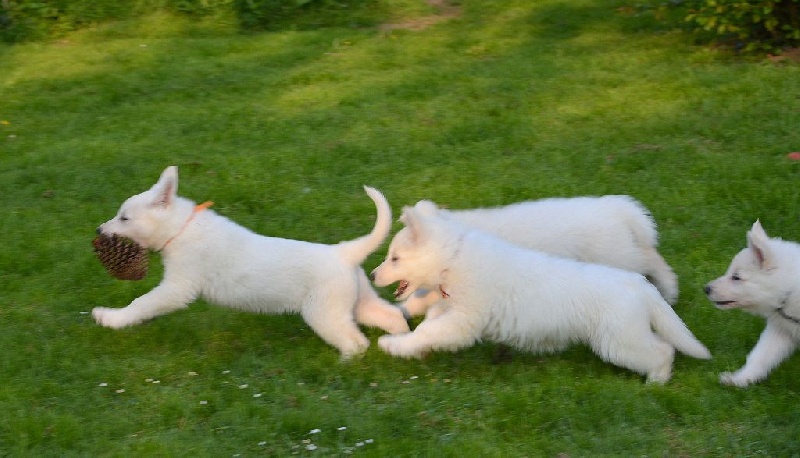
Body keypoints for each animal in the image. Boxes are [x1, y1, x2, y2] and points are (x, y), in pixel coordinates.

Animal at [91, 166, 410, 360]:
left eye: (124, 218)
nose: (98, 230)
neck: (182, 227)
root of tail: (344, 252)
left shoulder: (178, 287)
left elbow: (143, 302)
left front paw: (111, 317)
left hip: (324, 313)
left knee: (355, 342)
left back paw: (346, 363)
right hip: (357, 301)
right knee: (391, 315)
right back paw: (401, 341)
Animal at [708, 221, 800, 386]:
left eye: (736, 277)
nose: (706, 289)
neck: (790, 290)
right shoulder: (780, 330)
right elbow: (760, 356)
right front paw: (739, 379)